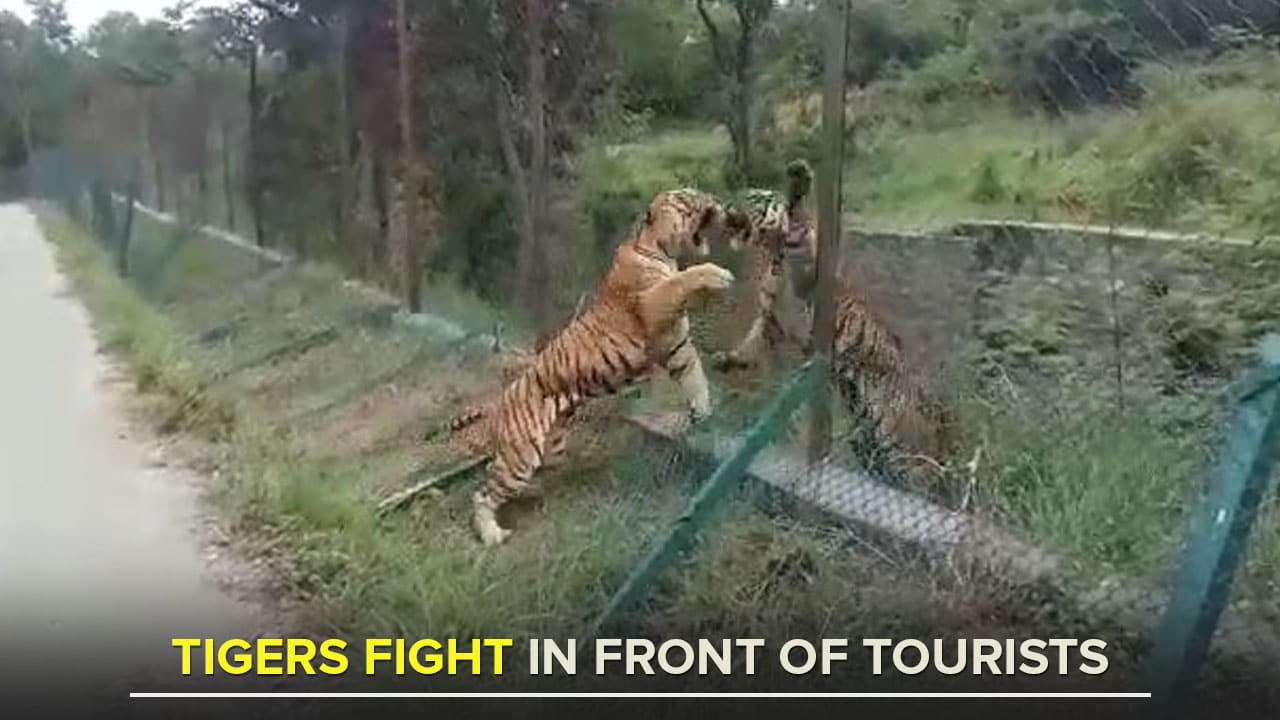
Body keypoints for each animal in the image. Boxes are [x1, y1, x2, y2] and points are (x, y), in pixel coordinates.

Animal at [469, 188, 742, 545]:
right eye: (686, 197)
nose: (716, 201)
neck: (661, 250)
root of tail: (500, 404)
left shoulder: (675, 345)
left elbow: (694, 375)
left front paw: (702, 410)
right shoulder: (653, 305)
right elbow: (681, 281)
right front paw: (719, 274)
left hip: (549, 449)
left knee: (506, 477)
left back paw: (530, 494)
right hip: (521, 455)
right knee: (483, 493)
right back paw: (492, 534)